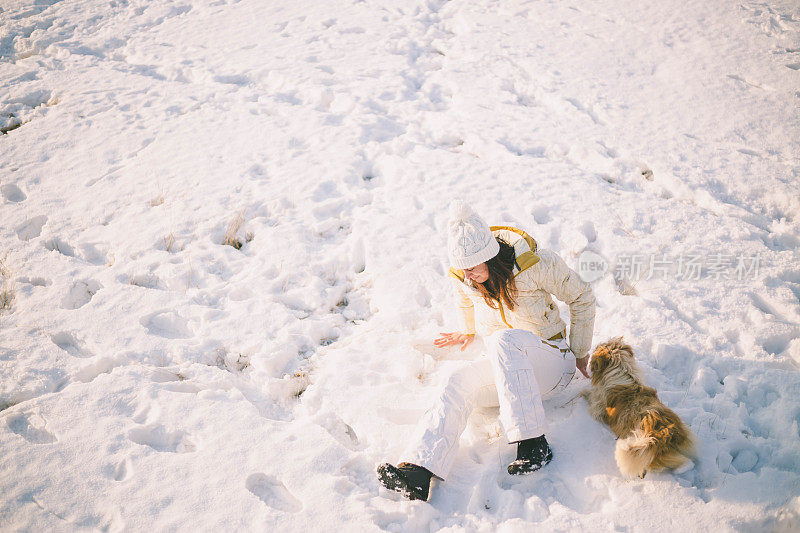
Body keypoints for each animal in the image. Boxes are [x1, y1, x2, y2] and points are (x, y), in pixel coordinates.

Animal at [580, 336, 692, 478]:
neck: (622, 371)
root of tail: (662, 435)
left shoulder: (597, 409)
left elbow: (591, 397)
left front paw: (583, 392)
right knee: (683, 462)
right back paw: (683, 467)